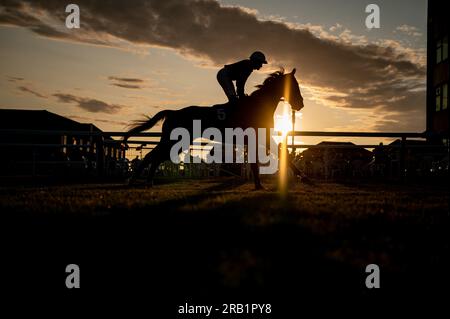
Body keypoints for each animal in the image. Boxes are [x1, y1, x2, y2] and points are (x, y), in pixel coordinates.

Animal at [125, 67, 304, 188]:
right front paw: (299, 176)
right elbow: (273, 156)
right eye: (295, 86)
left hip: (176, 142)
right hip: (174, 141)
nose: (301, 104)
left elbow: (278, 153)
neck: (259, 106)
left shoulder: (262, 138)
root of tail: (173, 112)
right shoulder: (257, 138)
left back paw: (145, 181)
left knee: (154, 156)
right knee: (152, 156)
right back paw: (136, 180)